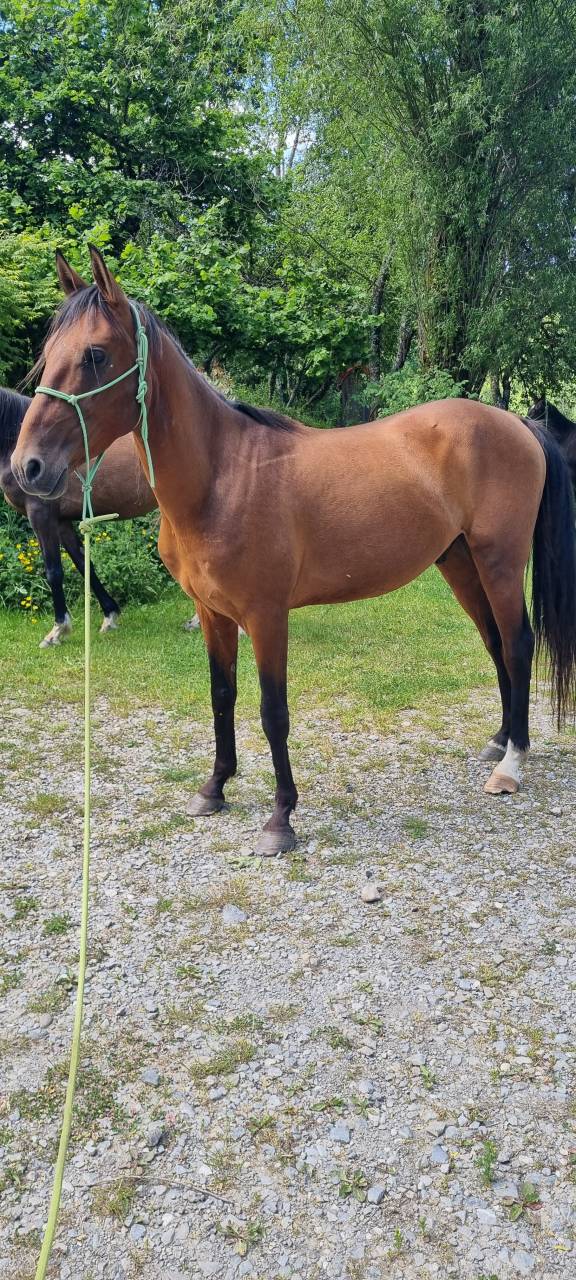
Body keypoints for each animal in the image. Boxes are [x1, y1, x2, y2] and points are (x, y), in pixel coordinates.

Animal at [0, 387, 155, 646]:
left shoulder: (40, 515)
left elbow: (53, 571)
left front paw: (57, 630)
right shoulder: (61, 522)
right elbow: (85, 565)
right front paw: (110, 615)